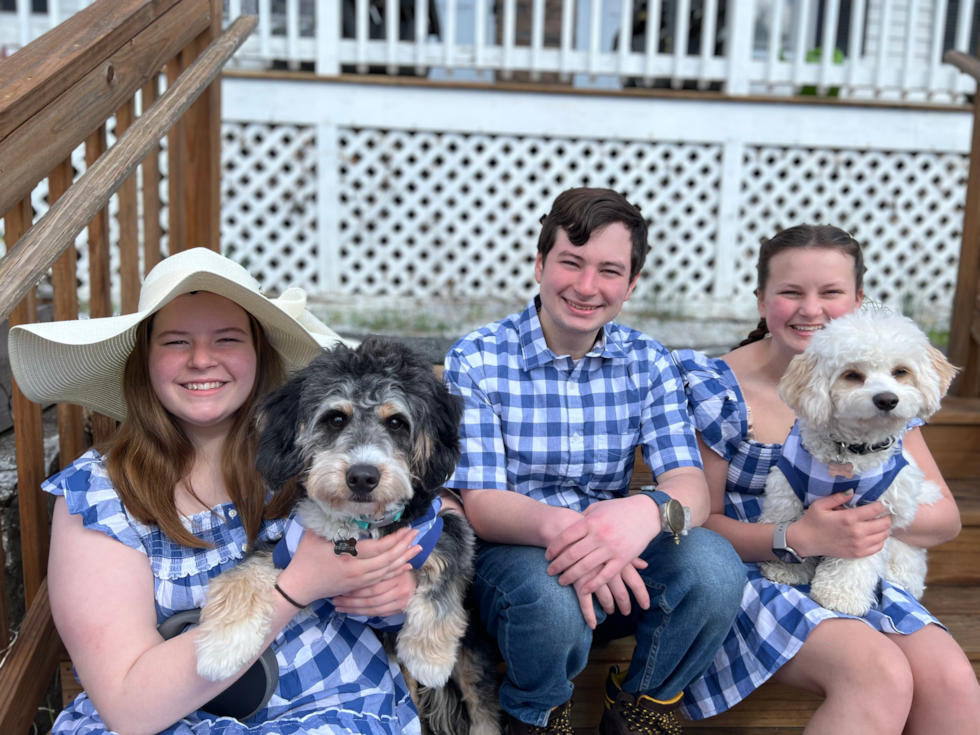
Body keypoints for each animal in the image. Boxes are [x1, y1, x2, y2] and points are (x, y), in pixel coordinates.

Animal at [195, 340, 502, 735]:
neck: (357, 526)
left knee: (483, 710)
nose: (362, 476)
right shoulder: (286, 549)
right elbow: (242, 577)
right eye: (336, 418)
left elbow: (443, 578)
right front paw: (220, 648)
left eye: (396, 422)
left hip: (472, 656)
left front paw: (429, 658)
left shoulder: (445, 527)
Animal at [756, 310, 956, 616]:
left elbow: (854, 562)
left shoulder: (873, 516)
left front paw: (839, 595)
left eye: (900, 372)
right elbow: (788, 525)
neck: (849, 451)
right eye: (852, 375)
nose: (887, 399)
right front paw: (785, 570)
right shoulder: (787, 490)